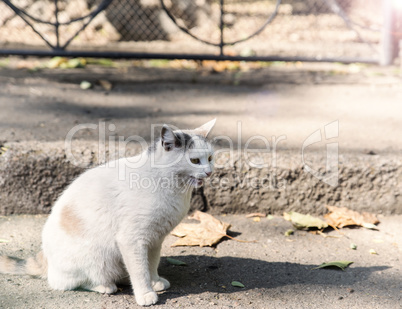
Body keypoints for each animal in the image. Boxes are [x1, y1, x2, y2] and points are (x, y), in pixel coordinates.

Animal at [0, 119, 217, 304]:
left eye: (210, 158)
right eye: (195, 161)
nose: (209, 172)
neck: (169, 184)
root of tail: (44, 256)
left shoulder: (155, 239)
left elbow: (151, 263)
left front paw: (154, 281)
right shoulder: (132, 239)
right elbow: (140, 270)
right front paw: (145, 293)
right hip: (95, 260)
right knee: (65, 283)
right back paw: (105, 286)